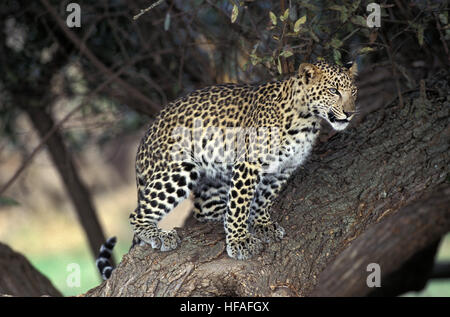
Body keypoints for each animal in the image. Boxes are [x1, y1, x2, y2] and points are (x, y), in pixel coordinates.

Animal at [96, 59, 356, 276]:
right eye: (333, 91)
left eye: (353, 92)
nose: (351, 113)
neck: (306, 120)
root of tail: (142, 144)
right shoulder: (249, 163)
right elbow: (240, 205)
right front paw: (239, 241)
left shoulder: (282, 169)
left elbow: (265, 198)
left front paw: (261, 224)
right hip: (180, 167)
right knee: (137, 214)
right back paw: (159, 234)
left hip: (215, 176)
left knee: (203, 211)